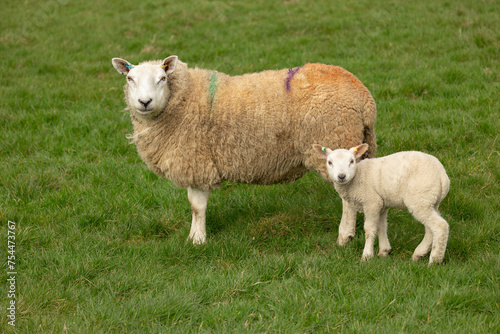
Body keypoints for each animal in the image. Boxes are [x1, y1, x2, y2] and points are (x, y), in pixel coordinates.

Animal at [110, 54, 376, 243]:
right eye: (129, 79)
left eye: (162, 79)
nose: (144, 102)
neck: (182, 101)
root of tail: (364, 97)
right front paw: (194, 238)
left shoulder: (197, 160)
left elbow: (197, 206)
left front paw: (197, 240)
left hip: (336, 141)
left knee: (346, 198)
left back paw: (344, 236)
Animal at [312, 144, 450, 264]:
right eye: (329, 162)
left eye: (351, 161)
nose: (341, 176)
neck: (357, 177)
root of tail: (442, 176)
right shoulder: (381, 204)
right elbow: (381, 227)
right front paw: (384, 251)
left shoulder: (371, 202)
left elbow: (369, 229)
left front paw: (367, 255)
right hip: (430, 201)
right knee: (430, 229)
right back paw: (419, 253)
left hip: (419, 198)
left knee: (440, 226)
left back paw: (435, 259)